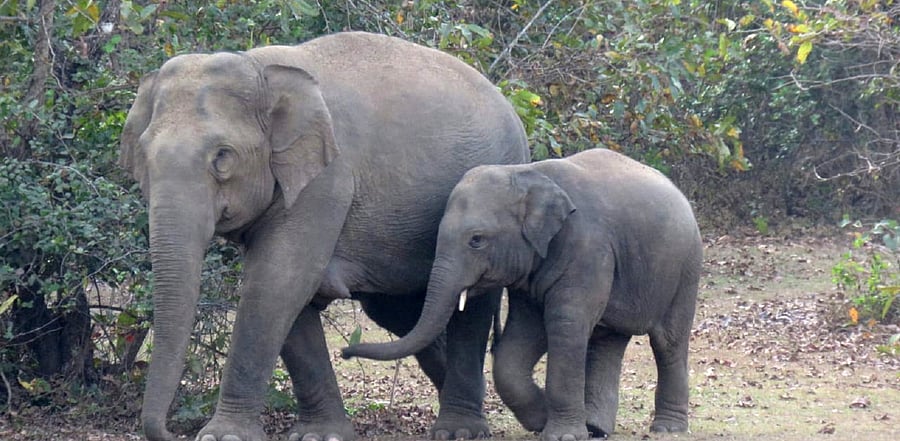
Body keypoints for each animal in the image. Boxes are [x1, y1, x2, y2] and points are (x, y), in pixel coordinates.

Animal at [119, 32, 529, 441]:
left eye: (222, 156)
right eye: (144, 155)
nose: (172, 432)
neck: (260, 68)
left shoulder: (327, 179)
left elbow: (277, 282)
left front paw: (224, 437)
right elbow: (288, 293)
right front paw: (319, 435)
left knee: (471, 311)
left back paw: (462, 430)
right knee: (401, 314)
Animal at [343, 148, 702, 441]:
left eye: (476, 240)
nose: (345, 352)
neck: (526, 174)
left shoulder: (588, 249)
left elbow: (565, 325)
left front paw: (562, 435)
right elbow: (522, 338)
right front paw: (544, 420)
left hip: (686, 269)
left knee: (668, 342)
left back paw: (667, 428)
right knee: (607, 341)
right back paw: (597, 427)